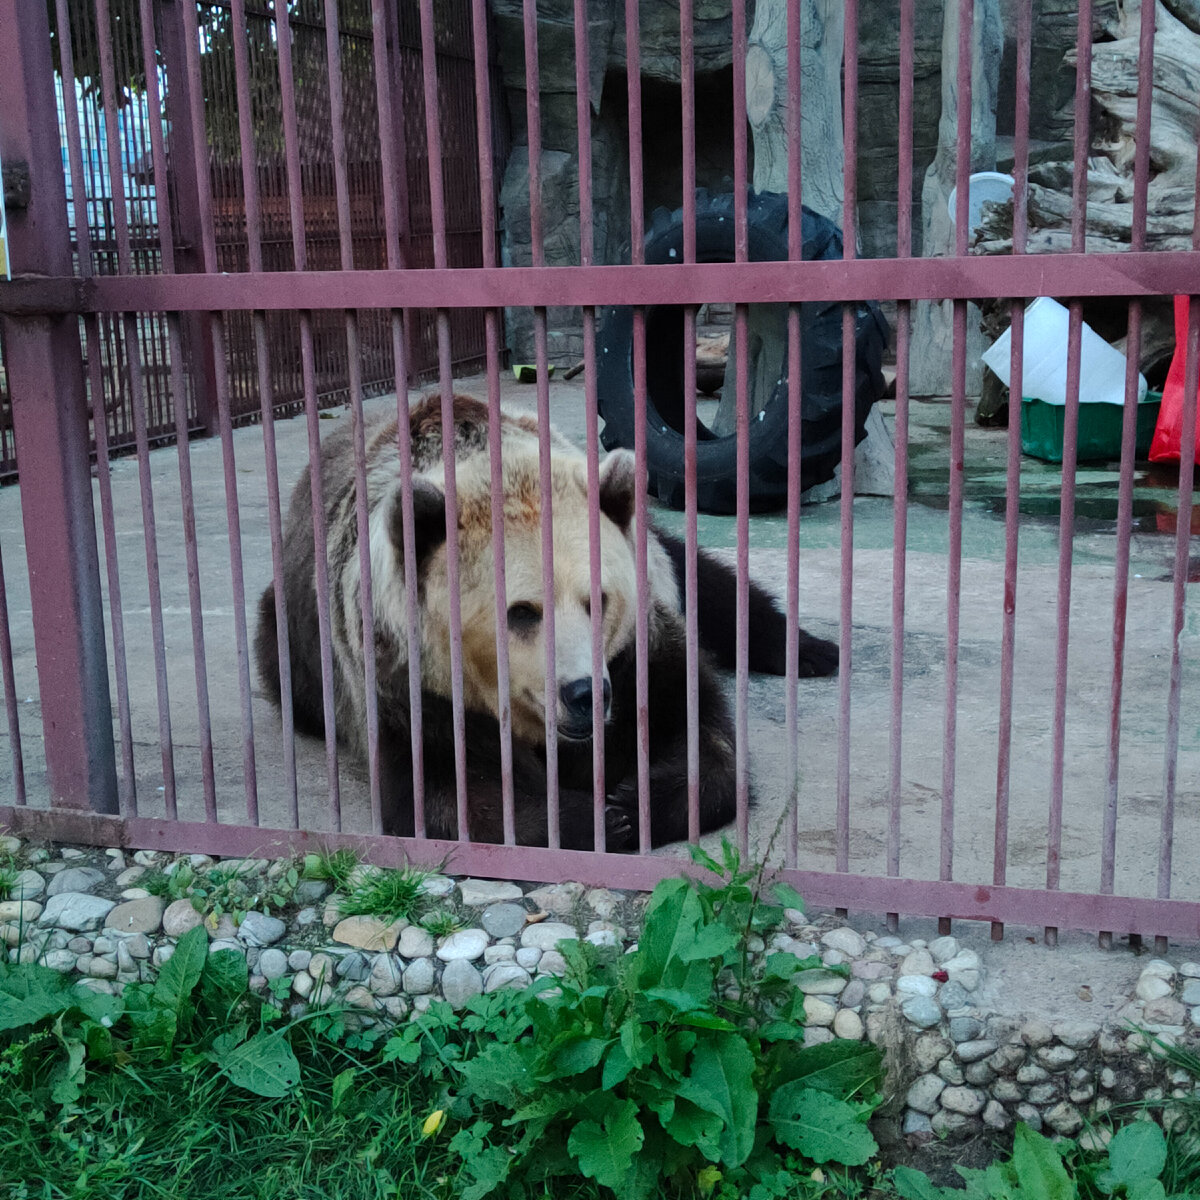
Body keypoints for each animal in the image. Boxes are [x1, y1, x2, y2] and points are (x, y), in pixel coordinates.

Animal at [255, 393, 835, 844]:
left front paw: (631, 801)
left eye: (597, 600)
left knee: (710, 582)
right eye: (521, 612)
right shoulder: (404, 678)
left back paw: (810, 650)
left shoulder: (637, 645)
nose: (585, 694)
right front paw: (595, 817)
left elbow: (700, 733)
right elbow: (453, 791)